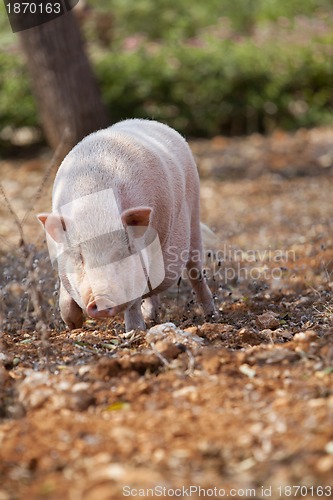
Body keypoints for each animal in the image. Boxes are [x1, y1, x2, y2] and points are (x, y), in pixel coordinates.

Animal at [38, 119, 215, 332]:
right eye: (79, 257)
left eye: (122, 253)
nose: (101, 299)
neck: (94, 208)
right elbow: (65, 293)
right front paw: (73, 325)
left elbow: (133, 301)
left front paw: (134, 331)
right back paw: (151, 317)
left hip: (194, 220)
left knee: (195, 273)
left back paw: (211, 315)